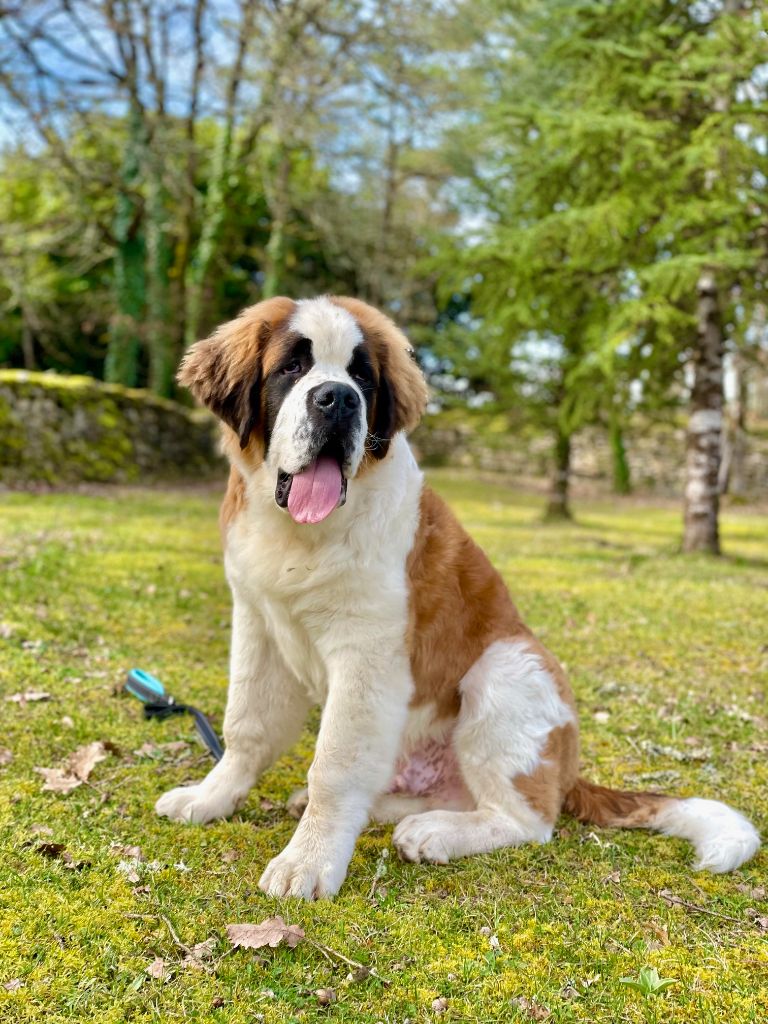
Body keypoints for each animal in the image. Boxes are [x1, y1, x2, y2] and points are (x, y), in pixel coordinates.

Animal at [154, 294, 757, 897]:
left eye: (362, 377)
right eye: (292, 368)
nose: (339, 399)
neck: (302, 533)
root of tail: (568, 773)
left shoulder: (366, 655)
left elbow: (335, 764)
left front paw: (310, 860)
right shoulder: (258, 624)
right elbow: (247, 724)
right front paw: (211, 797)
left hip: (506, 667)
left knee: (528, 819)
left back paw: (438, 832)